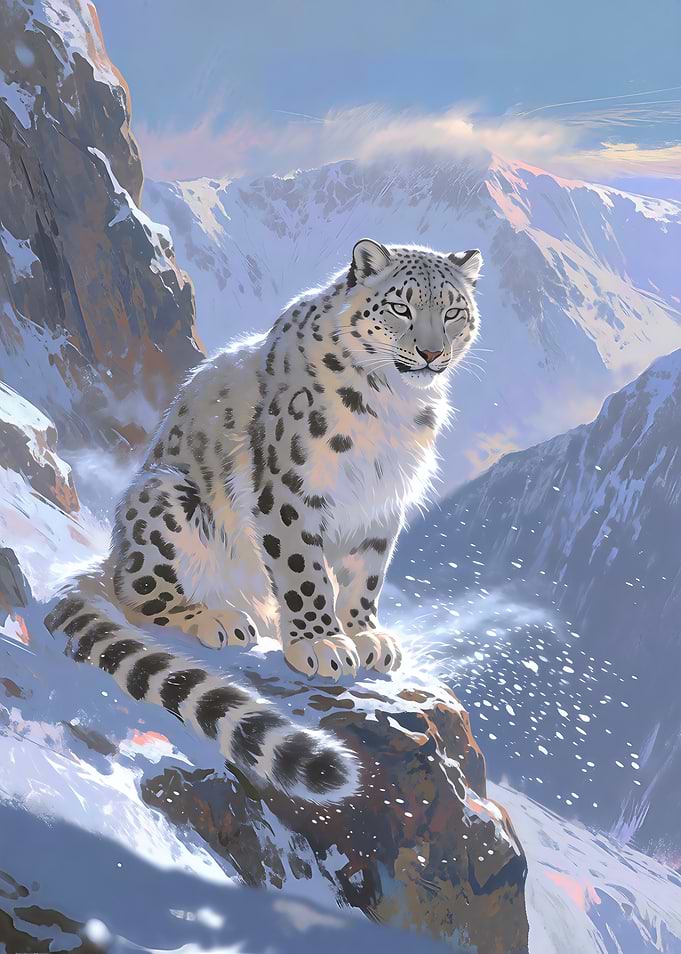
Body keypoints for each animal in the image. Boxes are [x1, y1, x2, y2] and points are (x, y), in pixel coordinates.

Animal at [46, 239, 483, 803]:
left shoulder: (382, 506)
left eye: (453, 312)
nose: (431, 353)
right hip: (165, 496)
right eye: (400, 307)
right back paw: (219, 619)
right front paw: (321, 643)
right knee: (139, 595)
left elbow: (366, 575)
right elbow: (304, 571)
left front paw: (364, 635)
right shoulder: (290, 489)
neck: (394, 404)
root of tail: (112, 553)